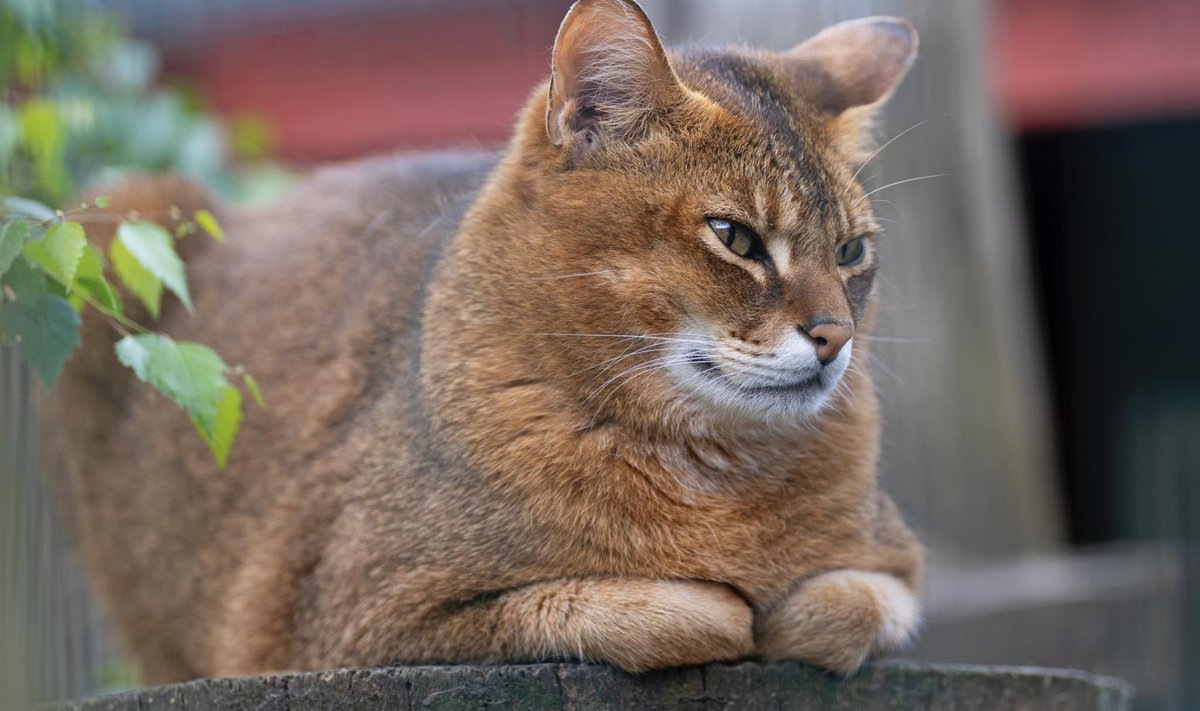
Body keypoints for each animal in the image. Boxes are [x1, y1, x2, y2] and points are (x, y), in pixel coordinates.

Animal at [44, 0, 926, 682]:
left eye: (852, 251)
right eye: (734, 236)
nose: (834, 336)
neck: (715, 477)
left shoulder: (896, 568)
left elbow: (847, 601)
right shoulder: (351, 621)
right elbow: (677, 612)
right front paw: (730, 605)